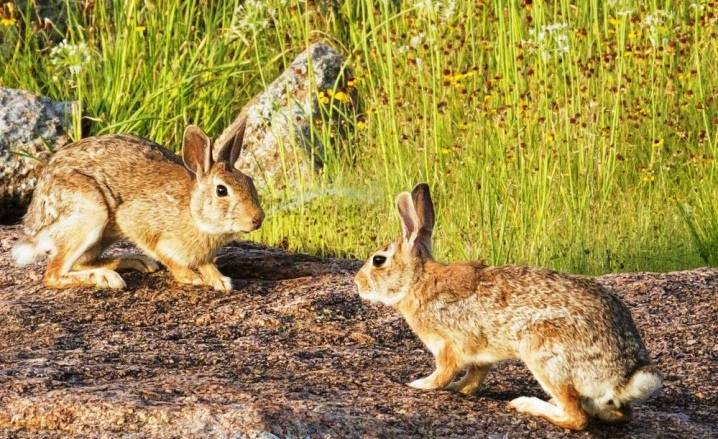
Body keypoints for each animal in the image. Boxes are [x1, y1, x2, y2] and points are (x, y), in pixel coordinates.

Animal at [11, 120, 264, 294]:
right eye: (221, 190)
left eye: (249, 181)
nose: (258, 219)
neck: (194, 210)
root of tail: (35, 226)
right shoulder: (137, 222)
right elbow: (166, 254)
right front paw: (191, 278)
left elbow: (206, 263)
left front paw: (220, 281)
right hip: (90, 214)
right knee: (53, 274)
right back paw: (106, 278)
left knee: (82, 262)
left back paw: (136, 262)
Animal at [354, 184, 664, 432]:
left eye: (378, 260)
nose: (357, 283)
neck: (417, 280)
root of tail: (624, 376)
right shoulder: (479, 356)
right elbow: (473, 377)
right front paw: (459, 389)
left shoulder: (448, 345)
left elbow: (444, 372)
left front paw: (419, 384)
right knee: (617, 414)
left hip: (543, 351)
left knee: (576, 418)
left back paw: (526, 404)